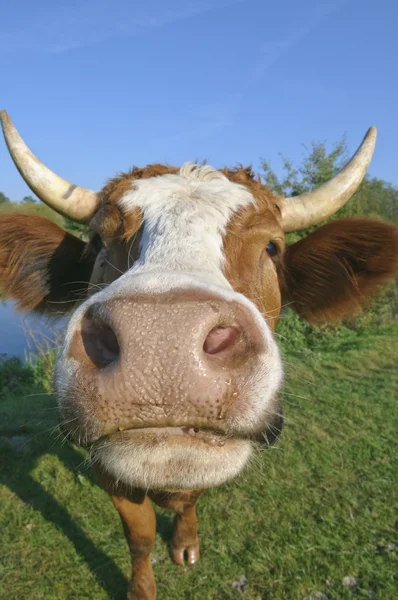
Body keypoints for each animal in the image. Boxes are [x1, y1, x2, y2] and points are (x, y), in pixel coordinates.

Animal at [0, 109, 396, 600]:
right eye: (98, 243)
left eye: (271, 247)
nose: (162, 338)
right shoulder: (110, 470)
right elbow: (140, 534)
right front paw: (141, 588)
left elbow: (189, 502)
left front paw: (185, 544)